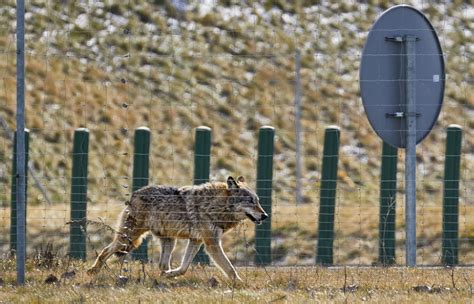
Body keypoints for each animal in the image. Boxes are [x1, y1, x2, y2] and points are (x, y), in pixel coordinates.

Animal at [87, 177, 268, 282]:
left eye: (258, 201)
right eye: (251, 201)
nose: (265, 215)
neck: (216, 206)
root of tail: (133, 195)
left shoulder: (196, 241)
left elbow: (184, 267)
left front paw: (171, 274)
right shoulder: (212, 244)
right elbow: (230, 269)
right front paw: (241, 285)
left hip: (168, 240)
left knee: (162, 265)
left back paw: (164, 277)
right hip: (128, 239)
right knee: (105, 250)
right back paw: (92, 272)